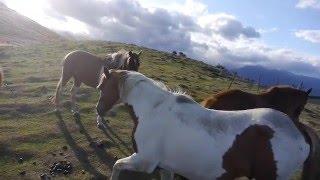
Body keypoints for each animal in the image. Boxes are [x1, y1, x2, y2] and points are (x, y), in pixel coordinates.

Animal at [96, 68, 308, 180]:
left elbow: (116, 165)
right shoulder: (166, 166)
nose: (98, 109)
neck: (153, 110)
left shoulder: (144, 161)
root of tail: (300, 134)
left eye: (102, 87)